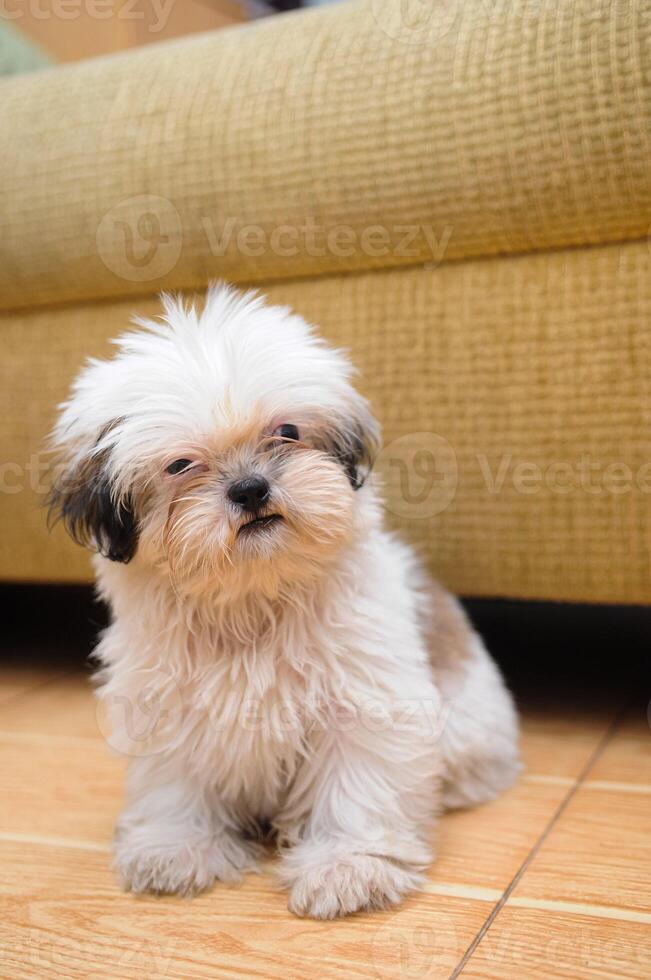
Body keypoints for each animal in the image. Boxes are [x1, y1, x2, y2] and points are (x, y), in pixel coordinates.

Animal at [48, 286, 524, 920]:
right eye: (180, 465)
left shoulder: (362, 700)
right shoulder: (169, 704)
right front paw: (177, 845)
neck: (253, 597)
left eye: (289, 431)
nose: (250, 488)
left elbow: (356, 782)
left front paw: (348, 863)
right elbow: (176, 783)